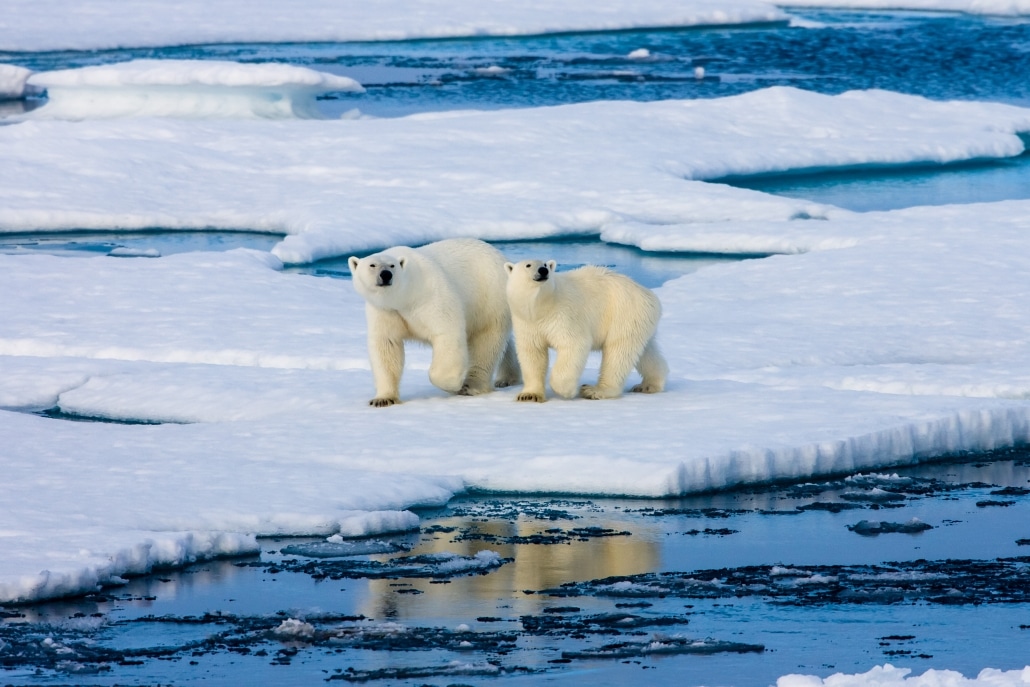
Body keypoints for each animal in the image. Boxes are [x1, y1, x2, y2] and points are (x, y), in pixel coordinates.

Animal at [348, 238, 520, 407]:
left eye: (392, 265)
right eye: (372, 265)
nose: (386, 275)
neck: (406, 296)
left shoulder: (430, 296)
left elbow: (447, 333)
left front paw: (454, 384)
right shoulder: (385, 310)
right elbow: (386, 345)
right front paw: (383, 399)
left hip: (489, 298)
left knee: (485, 342)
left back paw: (471, 385)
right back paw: (507, 378)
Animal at [504, 259, 668, 402]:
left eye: (545, 264)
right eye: (528, 265)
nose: (543, 271)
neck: (541, 307)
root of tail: (649, 295)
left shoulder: (563, 314)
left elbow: (574, 344)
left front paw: (567, 391)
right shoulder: (527, 323)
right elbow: (532, 353)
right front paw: (529, 395)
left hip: (624, 314)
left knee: (618, 352)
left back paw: (594, 390)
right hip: (639, 321)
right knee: (645, 351)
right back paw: (649, 385)